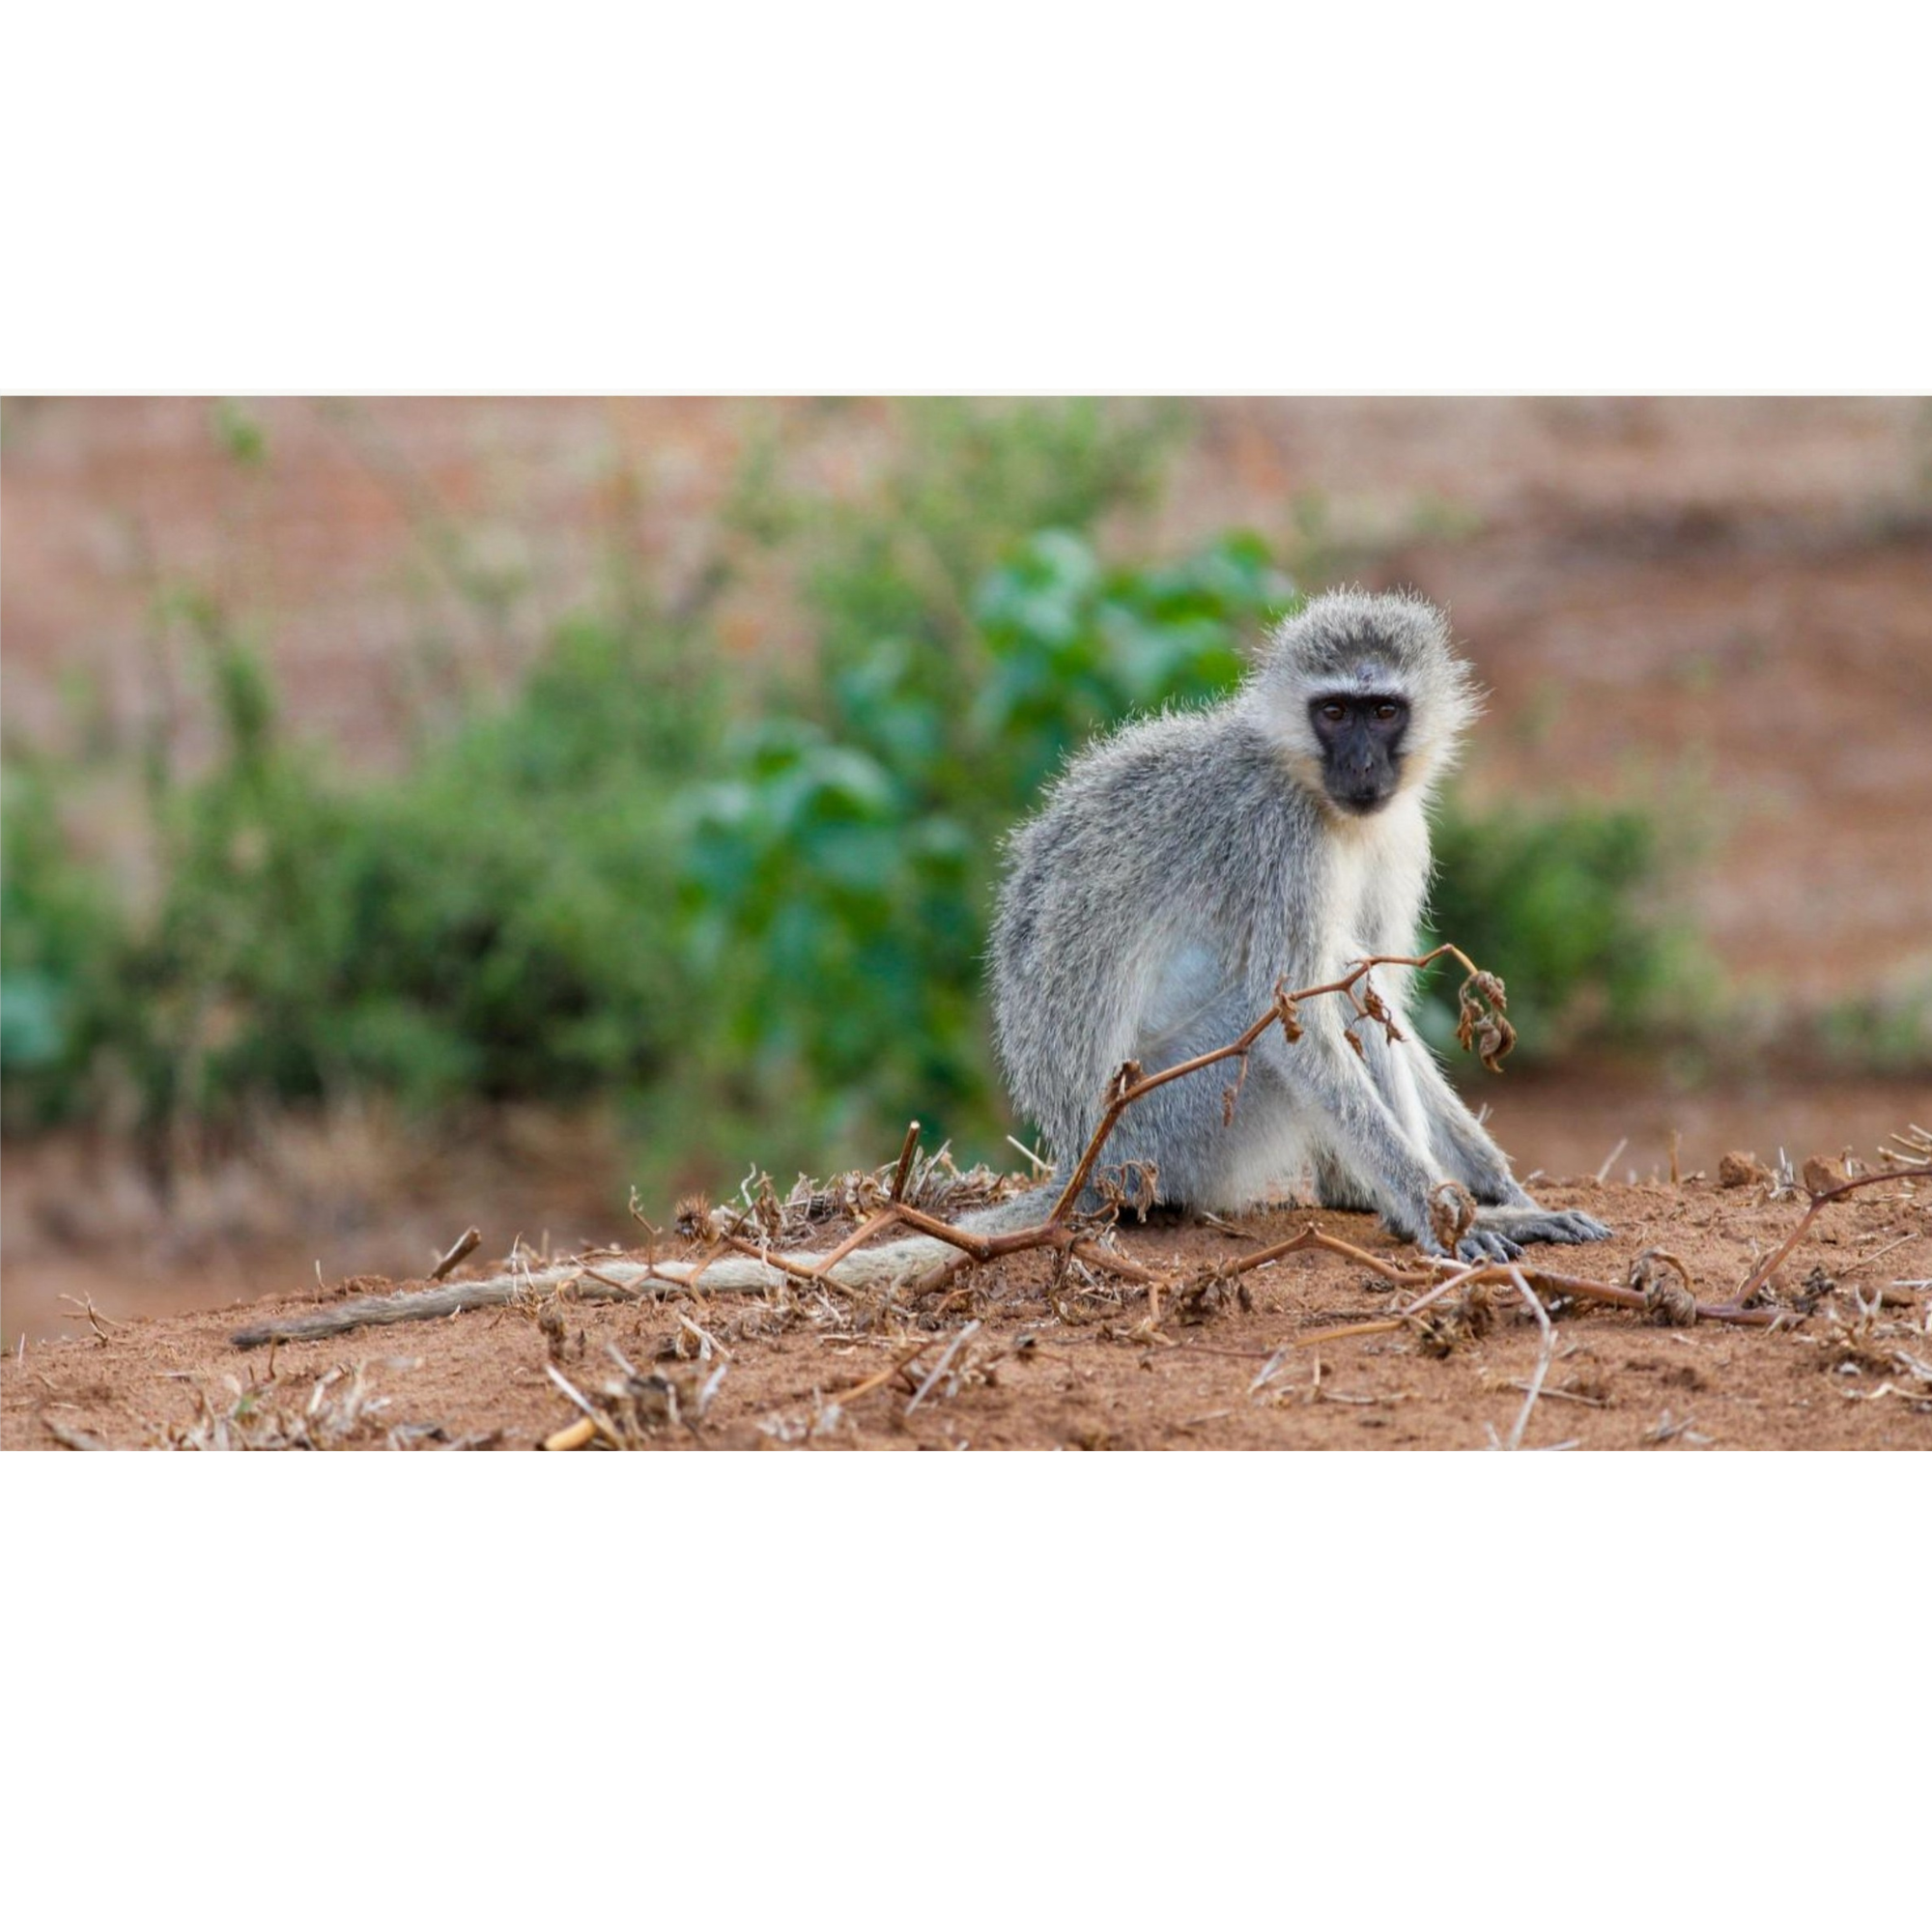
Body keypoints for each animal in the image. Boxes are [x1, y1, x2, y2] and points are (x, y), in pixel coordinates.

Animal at [230, 587, 1603, 1350]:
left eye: (1382, 709)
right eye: (1333, 710)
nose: (1363, 763)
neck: (1326, 802)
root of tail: (1085, 1160)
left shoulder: (1393, 830)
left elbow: (1387, 1001)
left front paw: (1497, 1189)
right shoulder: (1274, 841)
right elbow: (1302, 1022)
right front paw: (1447, 1214)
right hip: (1190, 1126)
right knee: (1291, 1023)